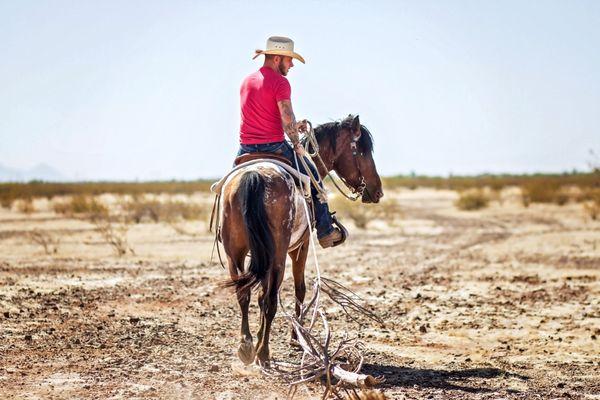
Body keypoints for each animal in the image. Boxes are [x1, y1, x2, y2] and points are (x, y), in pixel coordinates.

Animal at [220, 113, 384, 366]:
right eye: (363, 151)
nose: (377, 191)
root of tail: (253, 176)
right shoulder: (300, 247)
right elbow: (299, 289)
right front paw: (295, 338)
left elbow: (259, 296)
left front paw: (258, 338)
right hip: (277, 255)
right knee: (270, 300)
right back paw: (264, 353)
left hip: (235, 253)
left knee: (244, 293)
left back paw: (246, 347)